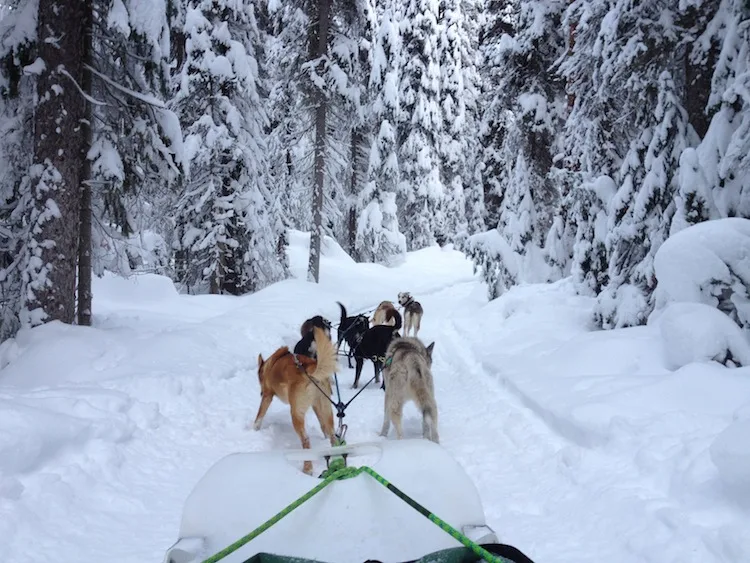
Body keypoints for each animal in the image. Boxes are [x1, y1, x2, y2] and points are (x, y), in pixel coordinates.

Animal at [254, 326, 340, 476]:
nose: (260, 392)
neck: (270, 365)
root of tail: (311, 368)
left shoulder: (267, 395)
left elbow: (259, 415)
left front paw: (254, 429)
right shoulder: (315, 406)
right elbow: (323, 427)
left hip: (296, 413)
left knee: (306, 440)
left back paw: (308, 468)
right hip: (324, 406)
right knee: (331, 432)